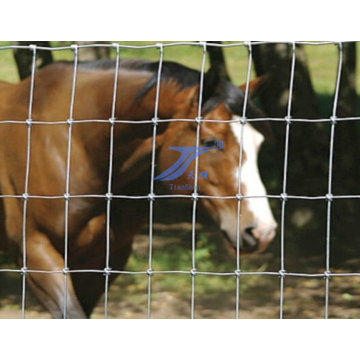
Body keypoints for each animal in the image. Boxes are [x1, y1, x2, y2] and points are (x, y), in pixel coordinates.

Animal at [0, 56, 278, 318]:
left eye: (259, 143)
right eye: (211, 142)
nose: (262, 231)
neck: (73, 145)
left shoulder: (103, 258)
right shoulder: (36, 252)